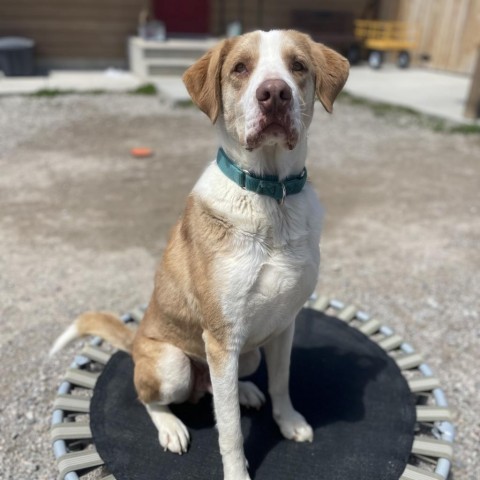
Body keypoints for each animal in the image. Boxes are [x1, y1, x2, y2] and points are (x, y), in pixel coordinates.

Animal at [50, 29, 346, 480]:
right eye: (240, 68)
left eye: (298, 66)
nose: (274, 94)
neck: (271, 198)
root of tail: (135, 342)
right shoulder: (221, 339)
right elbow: (230, 431)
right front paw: (238, 472)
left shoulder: (283, 326)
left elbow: (281, 383)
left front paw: (289, 422)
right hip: (174, 364)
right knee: (152, 398)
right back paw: (171, 426)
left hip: (246, 354)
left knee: (223, 387)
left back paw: (244, 391)